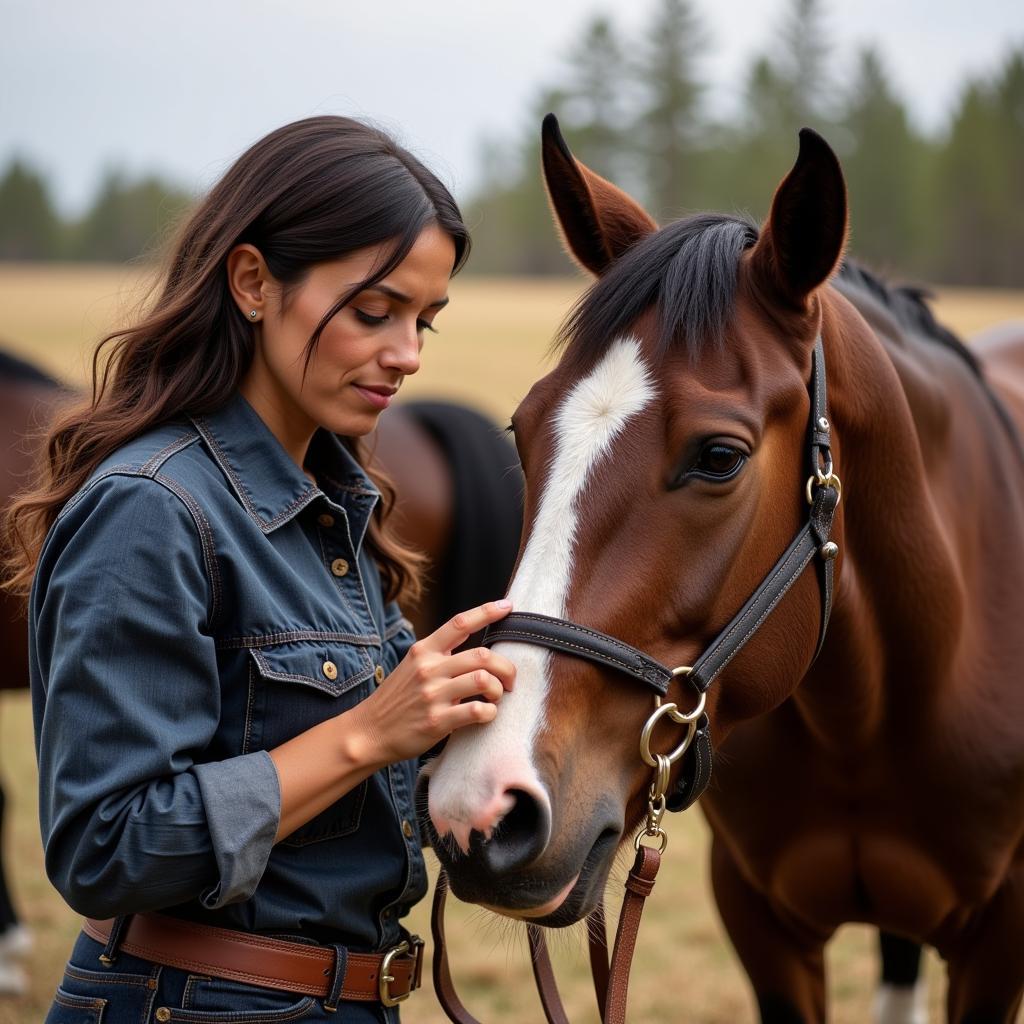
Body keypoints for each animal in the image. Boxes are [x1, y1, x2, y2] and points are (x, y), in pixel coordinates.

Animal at [421, 116, 1024, 1019]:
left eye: (718, 457)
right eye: (521, 431)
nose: (480, 807)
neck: (871, 721)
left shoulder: (997, 943)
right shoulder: (760, 923)